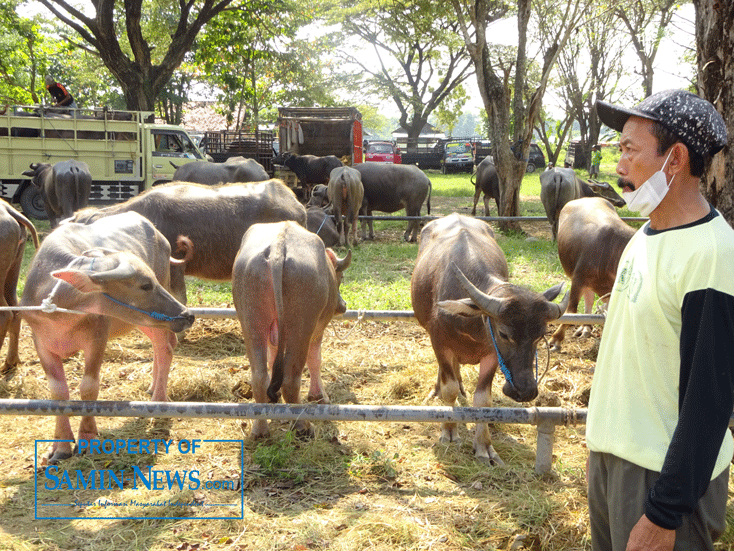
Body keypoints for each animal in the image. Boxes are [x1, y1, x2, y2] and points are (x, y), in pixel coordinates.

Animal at [234, 221, 352, 440]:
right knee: (291, 378)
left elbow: (272, 360)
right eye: (341, 276)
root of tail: (277, 249)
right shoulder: (317, 331)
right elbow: (315, 360)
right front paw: (319, 396)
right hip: (301, 329)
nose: (343, 306)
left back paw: (260, 429)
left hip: (252, 322)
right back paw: (303, 426)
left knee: (259, 376)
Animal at [414, 213, 568, 464]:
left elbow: (483, 400)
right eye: (504, 333)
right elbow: (449, 389)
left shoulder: (492, 355)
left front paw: (484, 446)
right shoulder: (440, 343)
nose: (525, 391)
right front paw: (449, 431)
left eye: (541, 335)